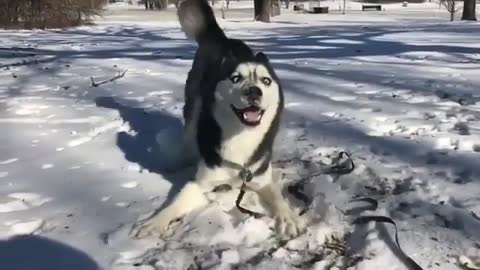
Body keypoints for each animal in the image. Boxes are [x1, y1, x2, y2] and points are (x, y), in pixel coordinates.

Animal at [133, 0, 302, 238]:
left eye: (266, 80)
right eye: (236, 78)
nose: (254, 91)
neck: (240, 138)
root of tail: (221, 39)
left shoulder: (261, 179)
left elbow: (278, 197)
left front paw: (288, 217)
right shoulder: (200, 182)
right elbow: (177, 202)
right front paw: (156, 221)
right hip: (194, 107)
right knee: (188, 136)